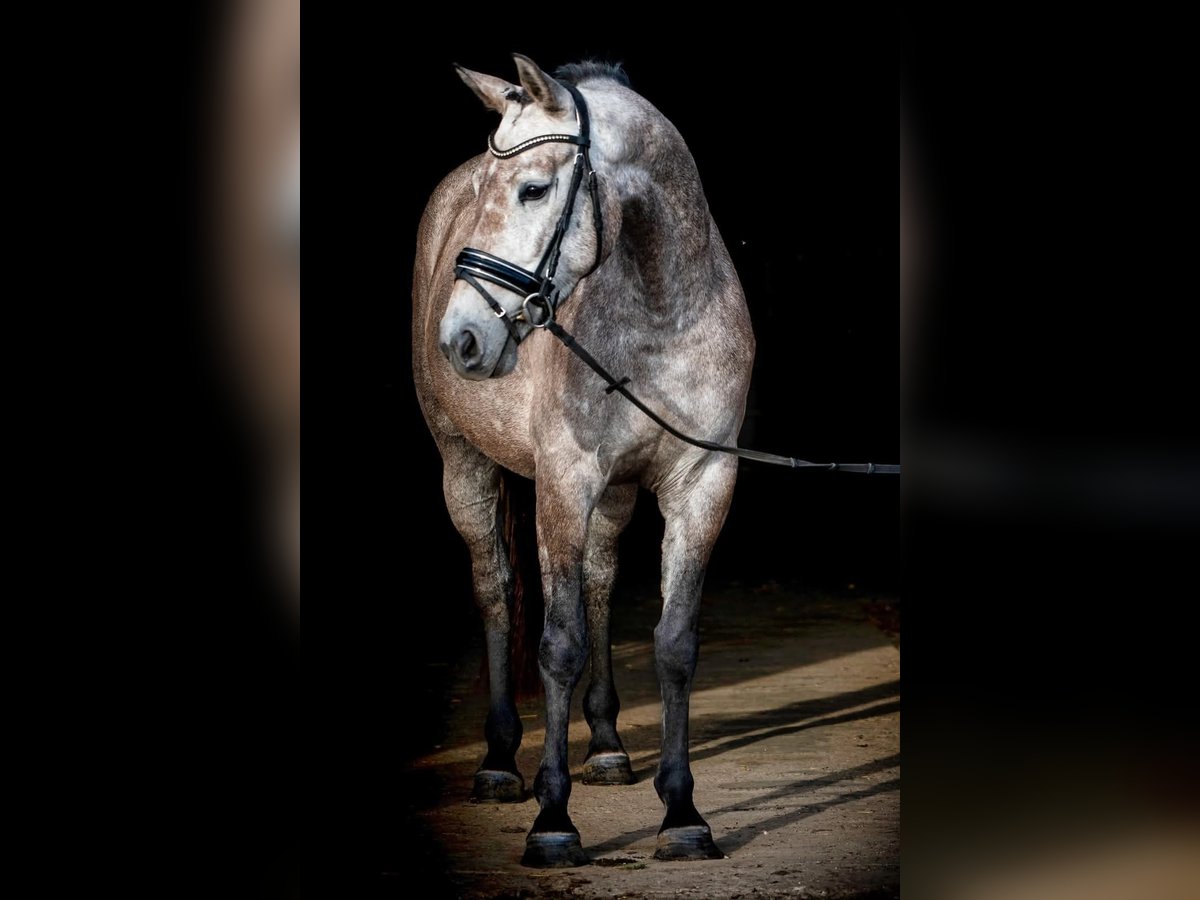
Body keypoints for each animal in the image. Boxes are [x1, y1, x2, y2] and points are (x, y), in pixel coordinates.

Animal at [412, 54, 754, 868]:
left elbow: (673, 644)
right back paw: (500, 764)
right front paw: (552, 820)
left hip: (617, 496)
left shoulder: (703, 483)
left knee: (599, 581)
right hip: (463, 468)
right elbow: (558, 644)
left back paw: (604, 745)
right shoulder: (565, 485)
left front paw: (683, 815)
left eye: (534, 189)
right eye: (483, 191)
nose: (461, 339)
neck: (662, 310)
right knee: (496, 590)